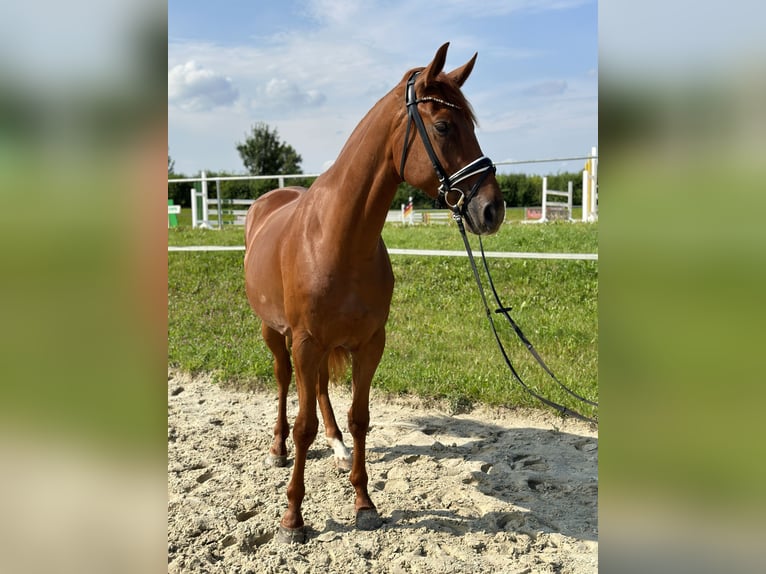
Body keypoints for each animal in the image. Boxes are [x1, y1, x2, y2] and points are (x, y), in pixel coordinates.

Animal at [246, 42, 508, 544]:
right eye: (443, 125)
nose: (492, 209)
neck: (337, 237)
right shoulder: (305, 341)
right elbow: (303, 424)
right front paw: (293, 518)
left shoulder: (368, 344)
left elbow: (359, 418)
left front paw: (364, 503)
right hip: (276, 333)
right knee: (285, 382)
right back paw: (277, 447)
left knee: (321, 392)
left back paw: (337, 447)